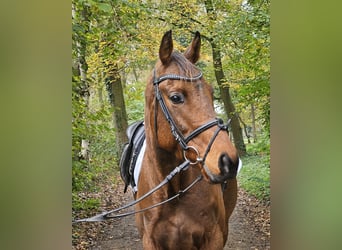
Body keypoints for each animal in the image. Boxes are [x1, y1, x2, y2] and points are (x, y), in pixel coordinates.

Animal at [132, 31, 239, 250]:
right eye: (176, 97)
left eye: (211, 92)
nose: (229, 161)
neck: (173, 193)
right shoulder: (151, 241)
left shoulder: (214, 238)